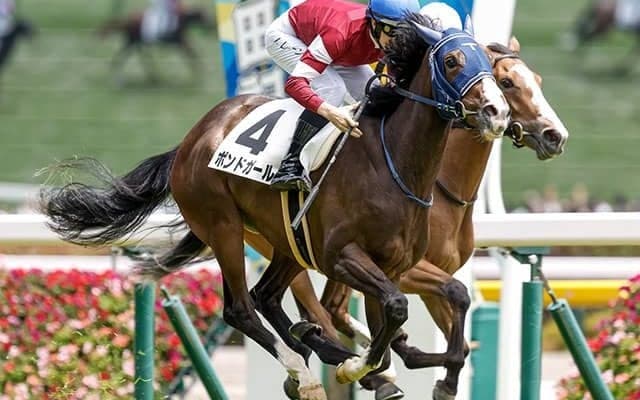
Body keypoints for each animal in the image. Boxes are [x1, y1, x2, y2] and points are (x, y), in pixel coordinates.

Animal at [39, 14, 510, 400]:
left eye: (490, 67)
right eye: (452, 61)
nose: (497, 112)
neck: (393, 164)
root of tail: (193, 138)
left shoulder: (391, 266)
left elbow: (405, 324)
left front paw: (426, 373)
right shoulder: (341, 256)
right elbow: (395, 314)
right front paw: (360, 367)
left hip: (287, 241)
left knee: (267, 297)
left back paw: (315, 345)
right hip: (224, 227)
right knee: (241, 308)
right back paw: (303, 369)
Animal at [278, 37, 569, 400]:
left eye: (538, 81)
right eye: (507, 82)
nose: (555, 135)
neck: (441, 184)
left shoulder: (433, 275)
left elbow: (459, 329)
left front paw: (438, 374)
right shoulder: (409, 271)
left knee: (332, 306)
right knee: (317, 304)